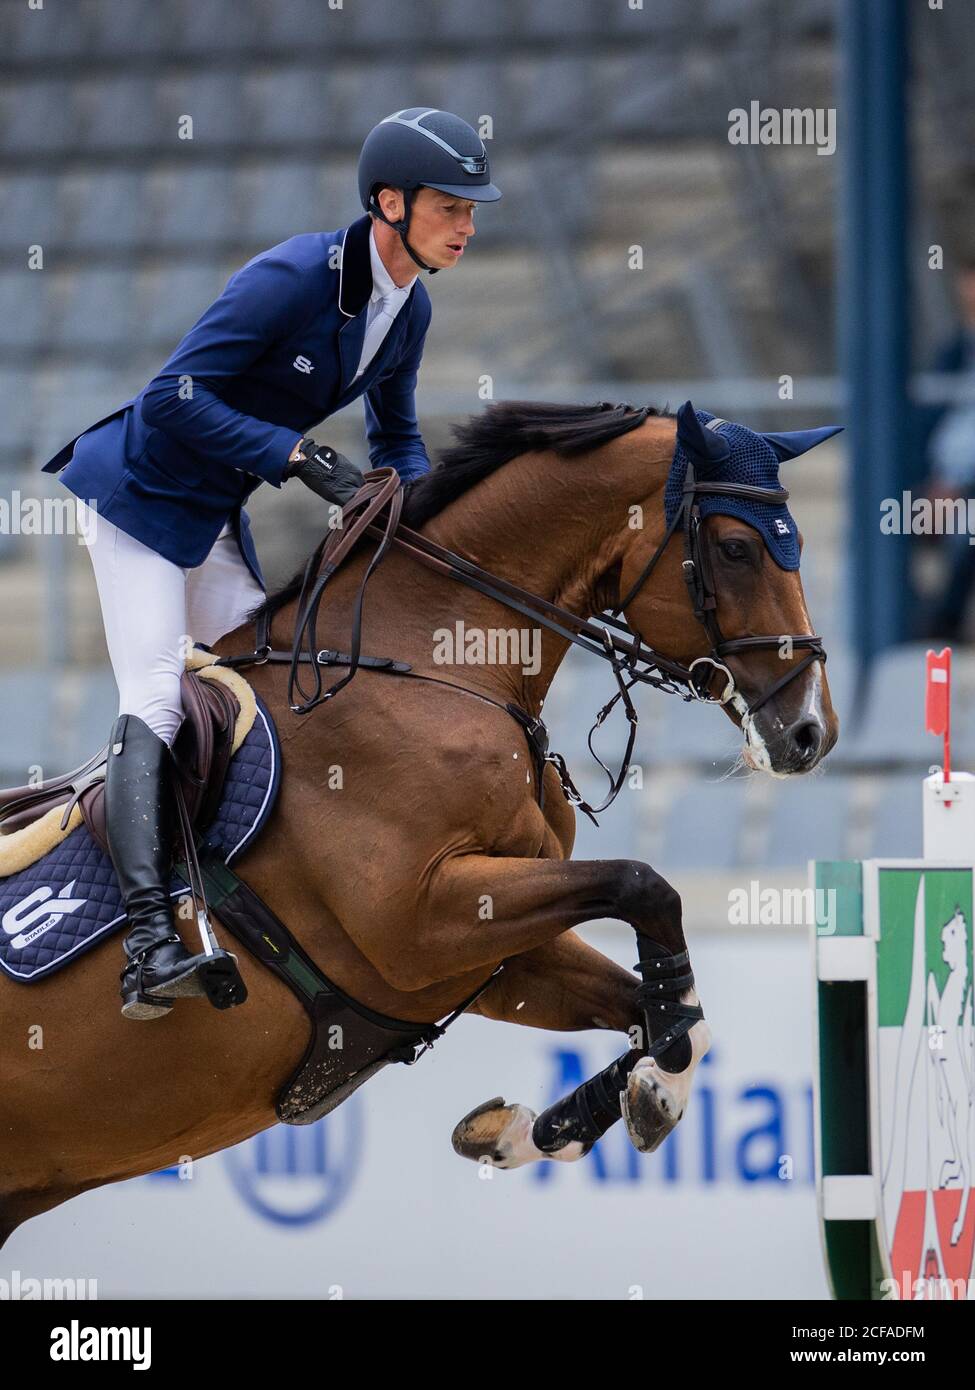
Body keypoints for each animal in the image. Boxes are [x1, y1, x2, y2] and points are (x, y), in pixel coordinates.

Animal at [0, 397, 834, 1245]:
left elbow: (657, 1010)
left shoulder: (485, 956)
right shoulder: (418, 924)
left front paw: (532, 1128)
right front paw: (650, 1091)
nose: (809, 732)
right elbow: (643, 886)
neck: (434, 668)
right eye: (736, 549)